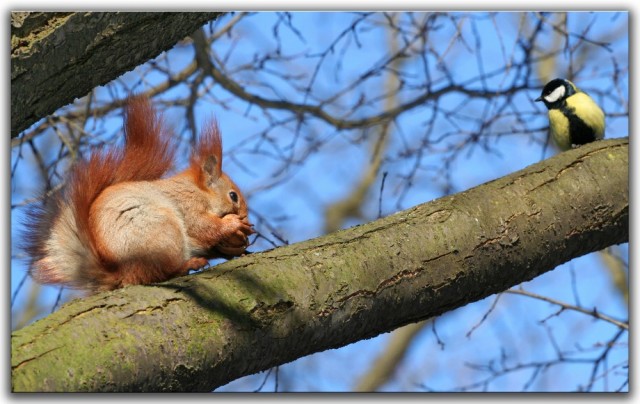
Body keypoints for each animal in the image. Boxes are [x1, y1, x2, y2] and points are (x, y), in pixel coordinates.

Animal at [25, 98, 255, 294]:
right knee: (157, 273)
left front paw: (234, 246)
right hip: (162, 232)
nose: (244, 216)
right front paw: (233, 224)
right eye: (233, 196)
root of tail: (121, 272)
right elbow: (201, 225)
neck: (198, 190)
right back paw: (188, 264)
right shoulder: (187, 203)